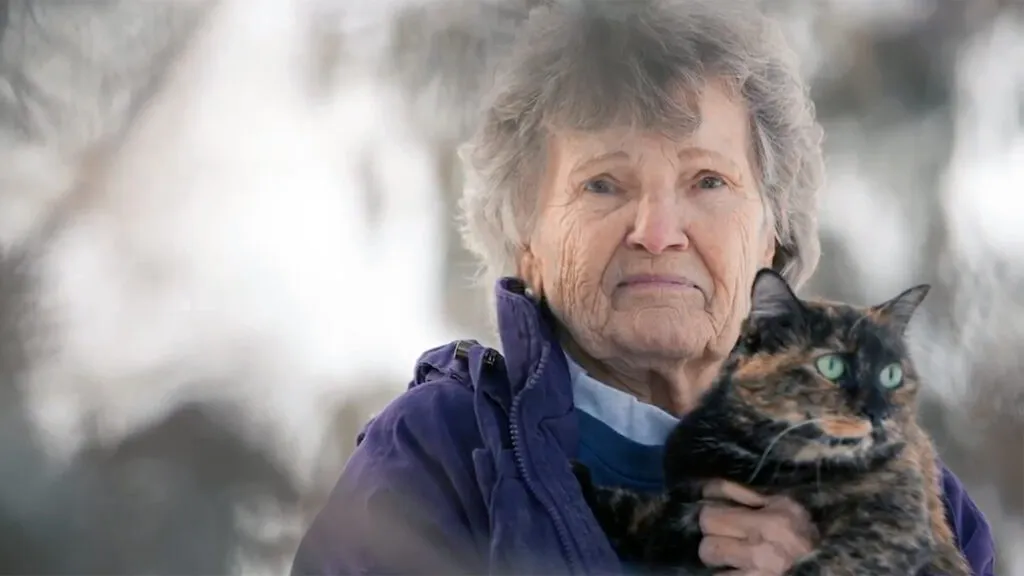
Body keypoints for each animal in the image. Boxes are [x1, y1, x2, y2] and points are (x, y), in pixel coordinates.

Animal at [577, 268, 966, 573]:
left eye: (891, 375)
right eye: (832, 366)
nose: (878, 411)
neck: (769, 463)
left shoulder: (891, 523)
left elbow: (828, 567)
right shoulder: (693, 506)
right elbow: (636, 511)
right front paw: (578, 477)